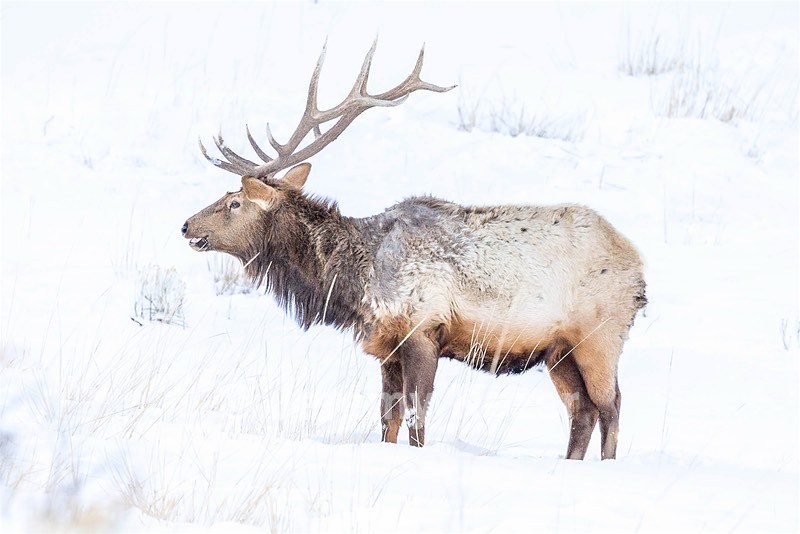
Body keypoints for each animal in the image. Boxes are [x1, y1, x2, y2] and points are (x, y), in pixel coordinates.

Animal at [182, 41, 647, 460]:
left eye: (234, 203)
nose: (186, 225)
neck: (355, 282)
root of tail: (639, 268)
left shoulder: (423, 330)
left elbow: (416, 421)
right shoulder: (386, 347)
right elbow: (386, 421)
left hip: (599, 336)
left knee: (611, 406)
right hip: (558, 351)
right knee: (582, 411)